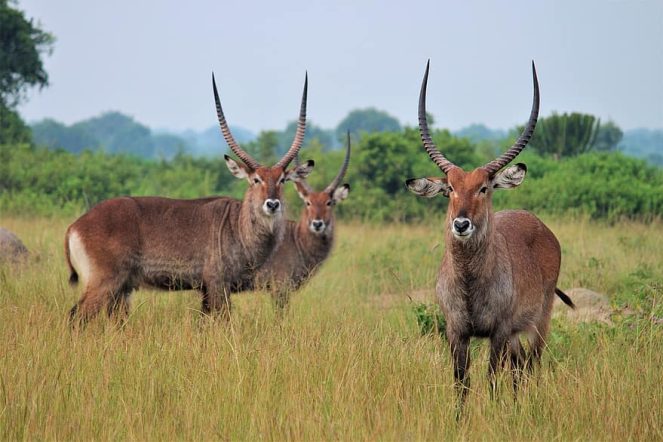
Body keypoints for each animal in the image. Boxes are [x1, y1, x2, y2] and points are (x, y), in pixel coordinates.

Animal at [65, 72, 316, 324]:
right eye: (256, 180)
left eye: (282, 180)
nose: (272, 204)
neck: (238, 226)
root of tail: (75, 226)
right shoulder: (218, 284)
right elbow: (223, 320)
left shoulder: (205, 289)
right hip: (105, 282)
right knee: (76, 316)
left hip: (122, 289)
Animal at [404, 61, 576, 408]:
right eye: (450, 188)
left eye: (483, 188)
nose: (461, 224)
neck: (471, 284)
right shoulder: (456, 332)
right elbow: (461, 383)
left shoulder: (499, 331)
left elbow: (492, 380)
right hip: (515, 335)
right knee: (519, 365)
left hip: (539, 321)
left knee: (532, 365)